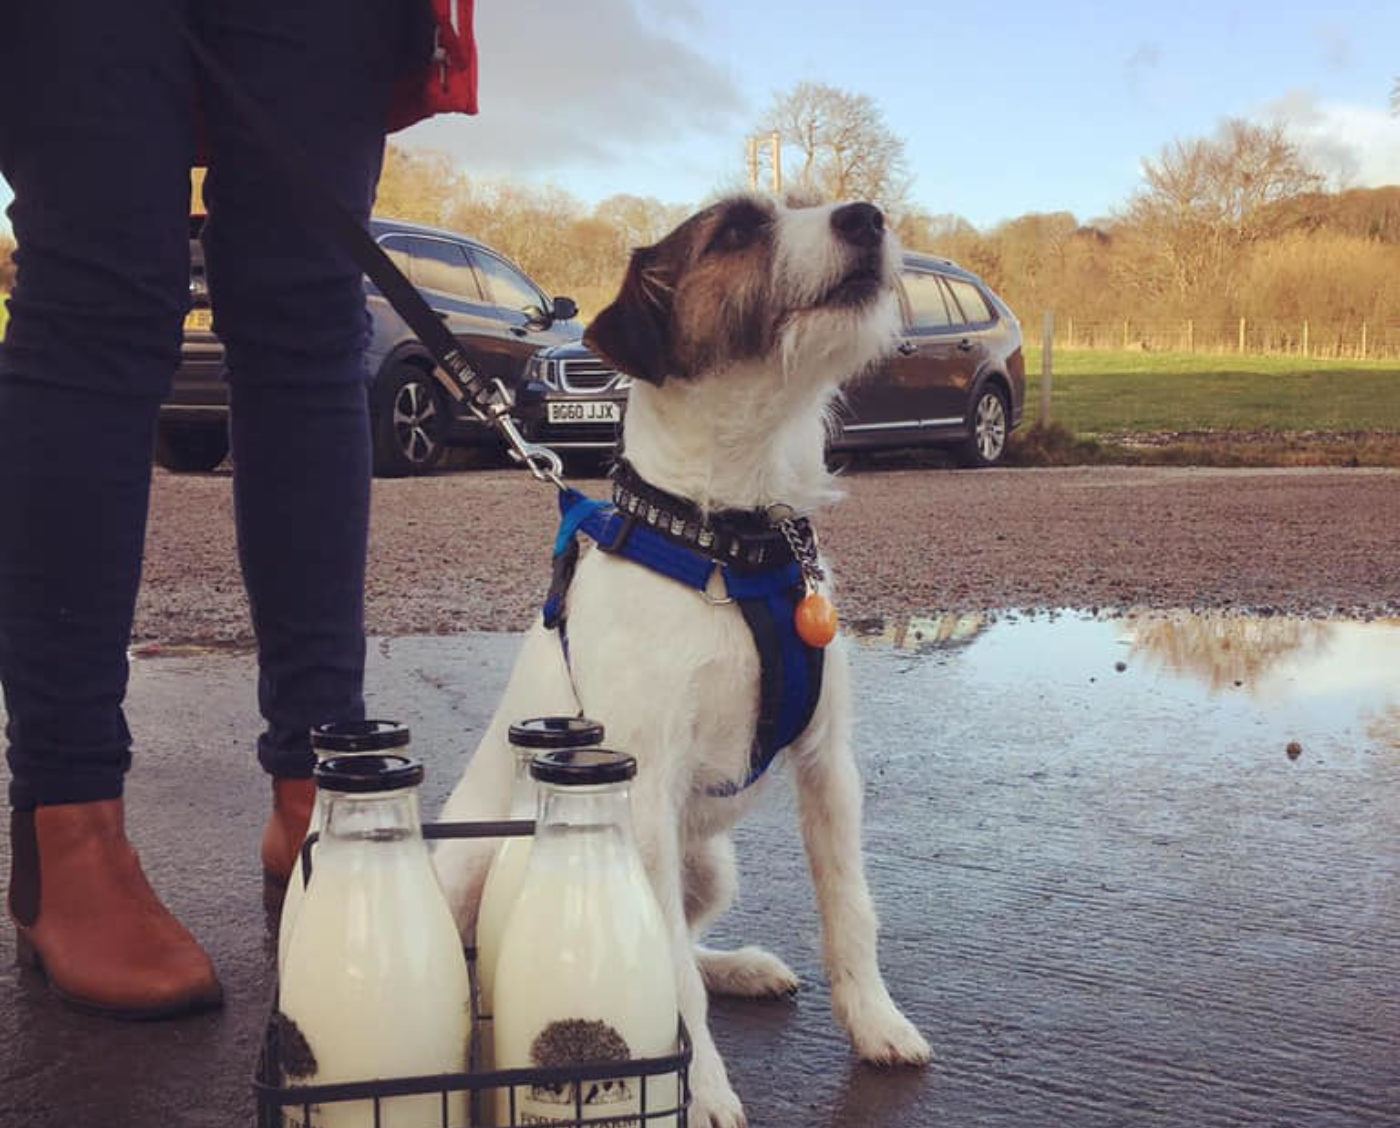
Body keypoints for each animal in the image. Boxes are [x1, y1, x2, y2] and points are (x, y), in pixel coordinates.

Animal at [434, 195, 929, 1128]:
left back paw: (739, 966)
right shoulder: (644, 797)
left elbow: (850, 910)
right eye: (735, 230)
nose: (867, 215)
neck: (734, 540)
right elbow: (661, 974)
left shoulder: (828, 766)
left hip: (709, 863)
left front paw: (876, 1023)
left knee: (688, 947)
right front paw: (700, 1096)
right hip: (478, 869)